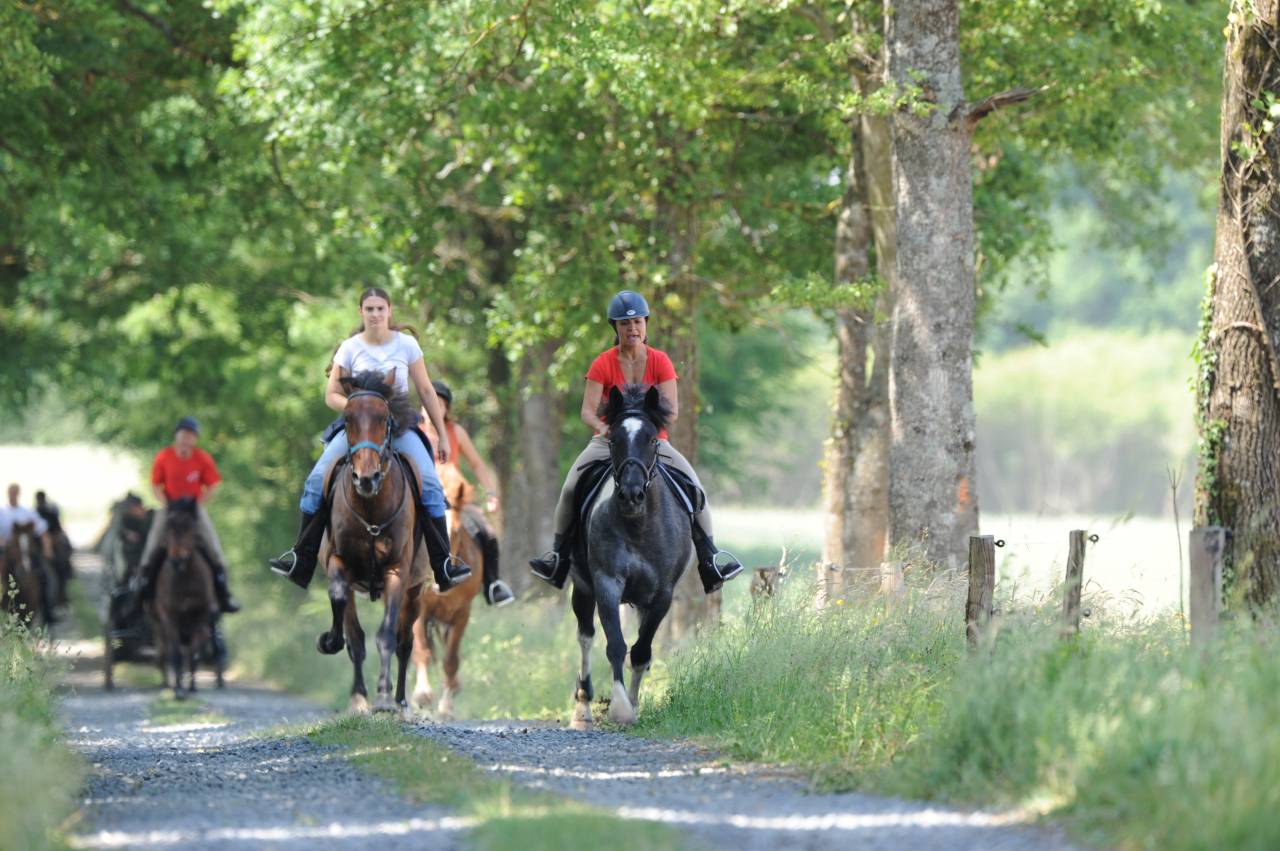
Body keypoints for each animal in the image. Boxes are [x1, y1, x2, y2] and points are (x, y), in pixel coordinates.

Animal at [149, 498, 223, 696]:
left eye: (191, 528)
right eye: (168, 527)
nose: (176, 560)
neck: (185, 578)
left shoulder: (201, 617)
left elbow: (193, 652)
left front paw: (192, 686)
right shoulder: (170, 617)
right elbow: (175, 653)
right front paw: (178, 690)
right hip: (160, 624)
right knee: (165, 650)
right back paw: (168, 682)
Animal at [315, 368, 424, 714]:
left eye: (384, 418)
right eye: (348, 419)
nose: (366, 478)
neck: (371, 509)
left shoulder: (397, 571)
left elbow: (387, 636)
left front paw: (384, 698)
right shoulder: (340, 564)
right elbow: (352, 633)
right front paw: (358, 696)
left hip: (416, 590)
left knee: (405, 641)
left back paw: (401, 701)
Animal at [410, 469, 484, 719]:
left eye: (458, 532)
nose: (437, 578)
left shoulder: (461, 614)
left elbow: (450, 661)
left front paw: (446, 707)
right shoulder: (420, 610)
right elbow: (421, 651)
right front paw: (422, 696)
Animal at [569, 384, 693, 729]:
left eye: (652, 439)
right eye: (613, 440)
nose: (631, 495)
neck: (638, 525)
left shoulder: (662, 594)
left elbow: (640, 651)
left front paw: (634, 705)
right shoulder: (606, 583)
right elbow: (615, 644)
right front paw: (621, 707)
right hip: (582, 588)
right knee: (585, 637)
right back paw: (583, 708)